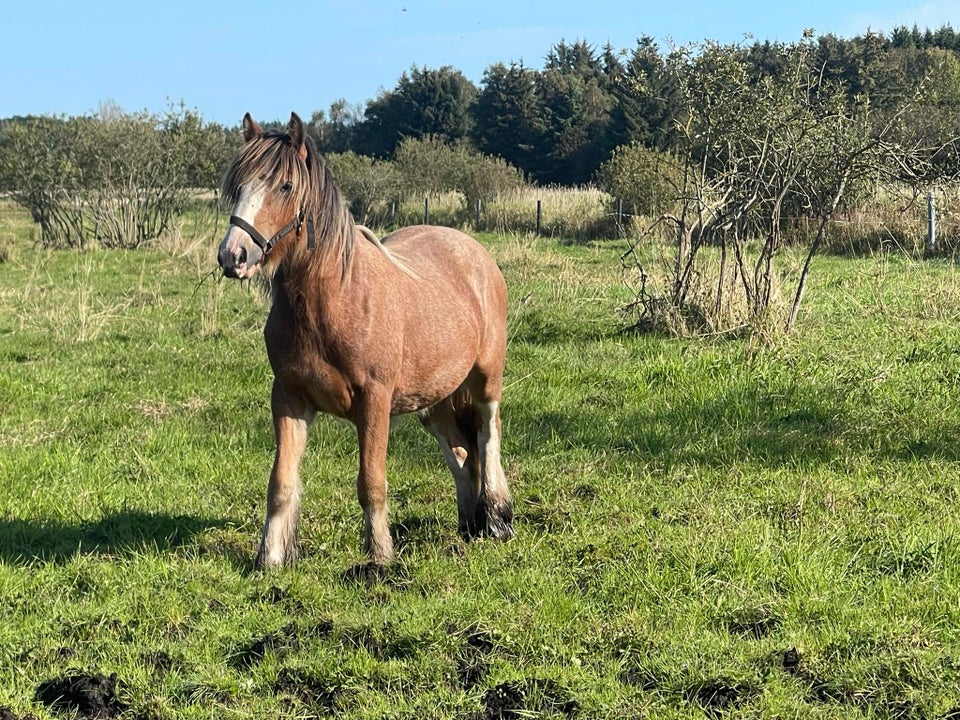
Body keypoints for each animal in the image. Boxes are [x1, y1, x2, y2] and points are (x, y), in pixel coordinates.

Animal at [218, 111, 516, 568]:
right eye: (238, 186)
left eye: (284, 186)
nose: (233, 255)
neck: (331, 302)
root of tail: (476, 253)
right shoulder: (289, 399)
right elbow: (281, 483)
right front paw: (268, 559)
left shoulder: (374, 403)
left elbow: (371, 482)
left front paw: (379, 558)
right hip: (433, 400)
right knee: (462, 454)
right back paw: (469, 526)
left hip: (484, 380)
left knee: (488, 434)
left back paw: (497, 518)